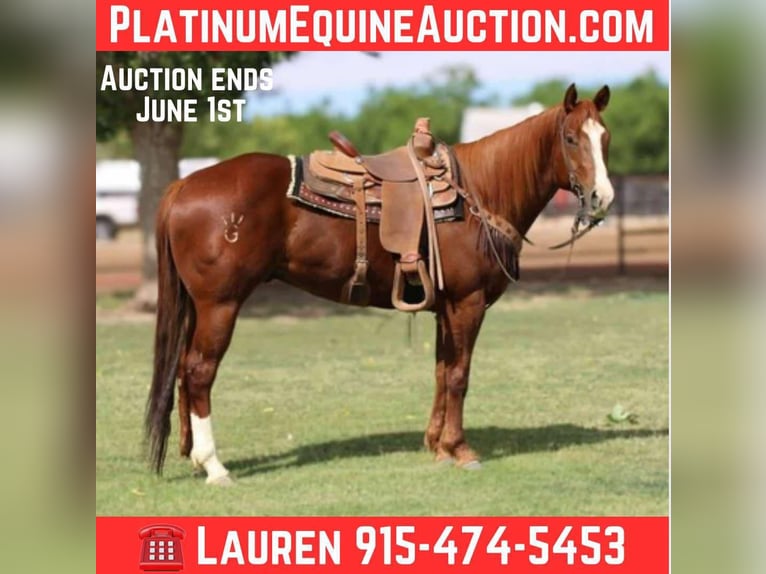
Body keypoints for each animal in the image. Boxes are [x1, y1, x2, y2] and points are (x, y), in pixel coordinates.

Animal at [145, 84, 614, 485]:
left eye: (605, 138)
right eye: (571, 139)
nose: (601, 198)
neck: (479, 192)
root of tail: (184, 184)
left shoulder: (444, 307)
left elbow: (441, 371)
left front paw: (437, 447)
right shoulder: (467, 302)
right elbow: (459, 375)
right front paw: (461, 450)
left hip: (199, 306)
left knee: (184, 371)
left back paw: (193, 456)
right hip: (220, 304)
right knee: (199, 371)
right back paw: (215, 466)